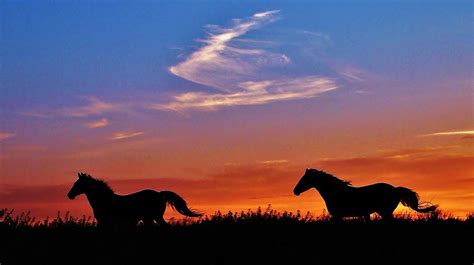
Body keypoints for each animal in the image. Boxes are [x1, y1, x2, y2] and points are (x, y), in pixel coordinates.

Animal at [67, 172, 201, 226]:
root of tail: (159, 194)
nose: (69, 195)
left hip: (154, 217)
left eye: (78, 184)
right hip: (150, 218)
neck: (105, 201)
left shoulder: (104, 222)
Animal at [292, 168, 436, 220]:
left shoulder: (338, 216)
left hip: (385, 212)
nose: (295, 191)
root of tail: (395, 189)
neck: (336, 193)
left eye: (305, 179)